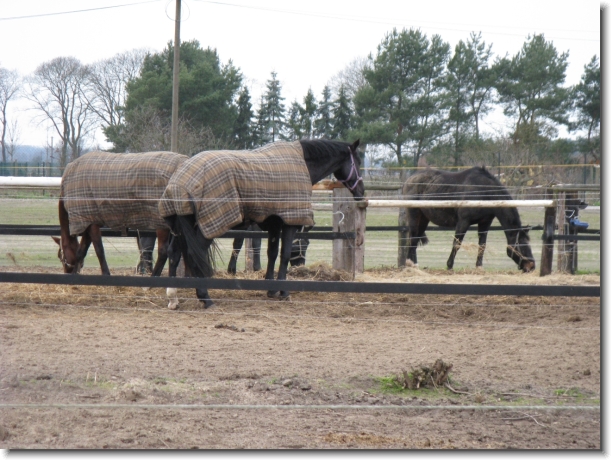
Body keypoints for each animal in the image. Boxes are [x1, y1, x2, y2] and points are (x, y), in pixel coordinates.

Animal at [52, 152, 186, 306]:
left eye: (60, 256)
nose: (66, 272)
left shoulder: (90, 224)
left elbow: (99, 250)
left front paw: (104, 275)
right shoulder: (88, 221)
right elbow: (82, 251)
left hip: (162, 224)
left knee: (163, 252)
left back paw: (151, 284)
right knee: (174, 253)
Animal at [160, 138, 366, 308]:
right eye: (358, 162)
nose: (361, 193)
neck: (301, 163)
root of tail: (180, 180)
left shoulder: (274, 224)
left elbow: (272, 253)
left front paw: (271, 289)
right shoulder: (289, 223)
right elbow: (283, 255)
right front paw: (283, 291)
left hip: (182, 226)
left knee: (174, 253)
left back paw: (173, 297)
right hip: (207, 227)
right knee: (194, 254)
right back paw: (205, 297)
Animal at [402, 165, 536, 272]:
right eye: (523, 245)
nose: (532, 266)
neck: (484, 191)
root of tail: (409, 179)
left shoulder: (485, 223)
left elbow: (482, 245)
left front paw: (479, 267)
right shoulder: (463, 222)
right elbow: (457, 243)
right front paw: (449, 266)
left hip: (424, 218)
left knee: (415, 239)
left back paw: (414, 264)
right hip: (414, 214)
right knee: (412, 238)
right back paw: (410, 264)